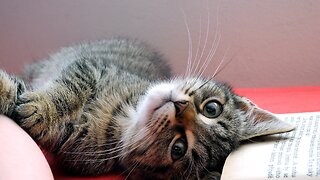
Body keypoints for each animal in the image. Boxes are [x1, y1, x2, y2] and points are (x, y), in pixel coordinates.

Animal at [0, 38, 296, 179]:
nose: (180, 107)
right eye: (212, 108)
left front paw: (31, 108)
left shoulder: (75, 148)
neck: (123, 115)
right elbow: (69, 88)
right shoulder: (90, 68)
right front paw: (41, 105)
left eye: (178, 149)